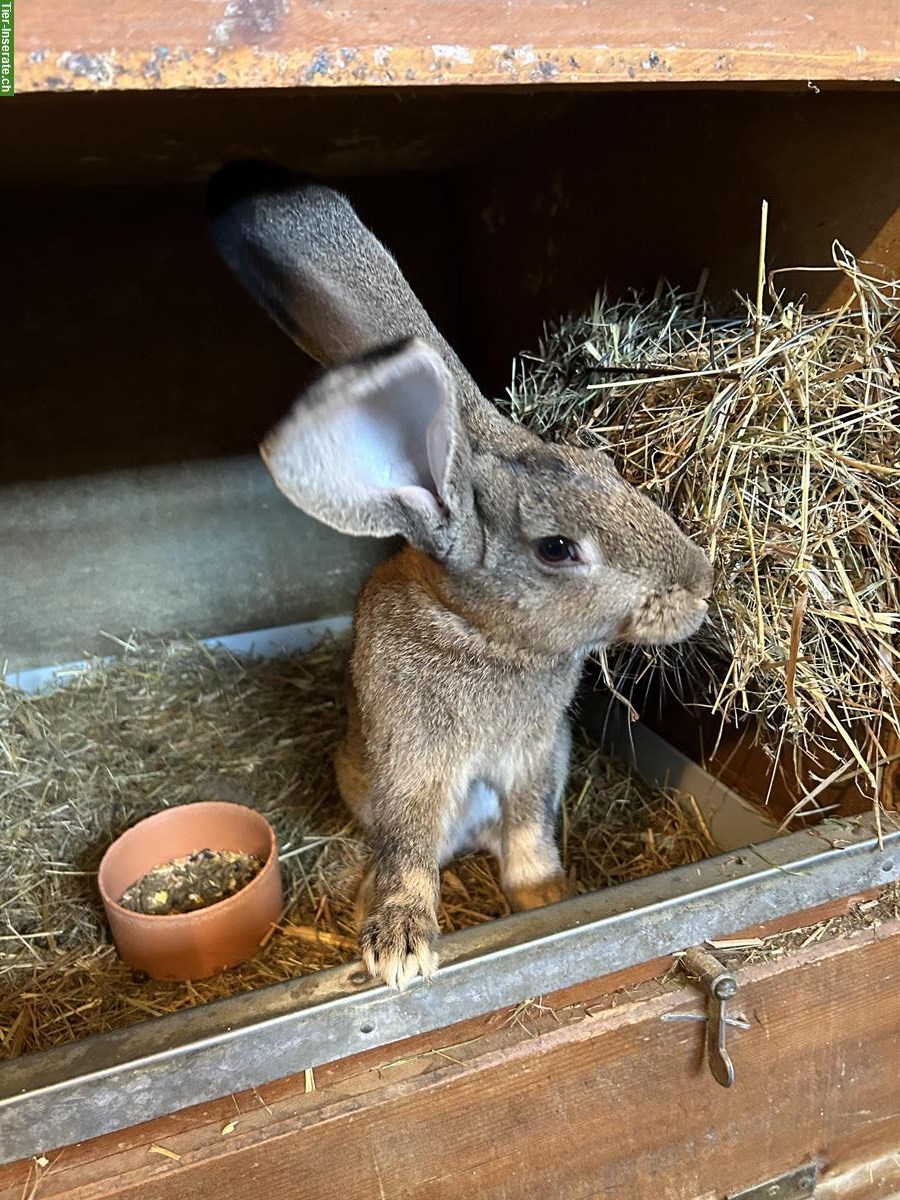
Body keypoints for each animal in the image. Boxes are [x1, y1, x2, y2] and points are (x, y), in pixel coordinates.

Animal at [207, 166, 715, 993]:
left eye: (605, 466)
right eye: (557, 549)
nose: (701, 582)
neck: (486, 635)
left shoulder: (535, 759)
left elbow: (530, 830)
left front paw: (544, 894)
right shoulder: (414, 768)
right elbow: (409, 853)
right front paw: (400, 949)